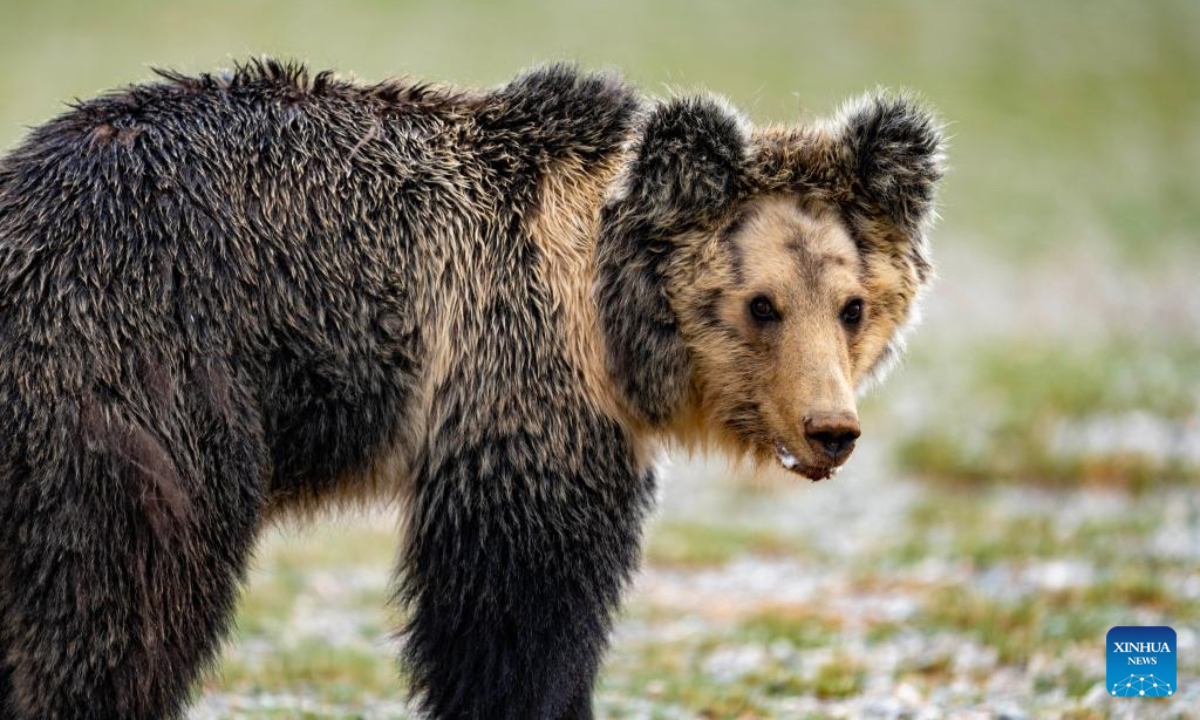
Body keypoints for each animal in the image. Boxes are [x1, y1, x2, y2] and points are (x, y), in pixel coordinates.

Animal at [0, 60, 943, 719]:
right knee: (118, 608)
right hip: (141, 386)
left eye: (853, 306)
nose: (830, 429)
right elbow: (515, 610)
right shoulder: (516, 386)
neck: (600, 314)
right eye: (762, 304)